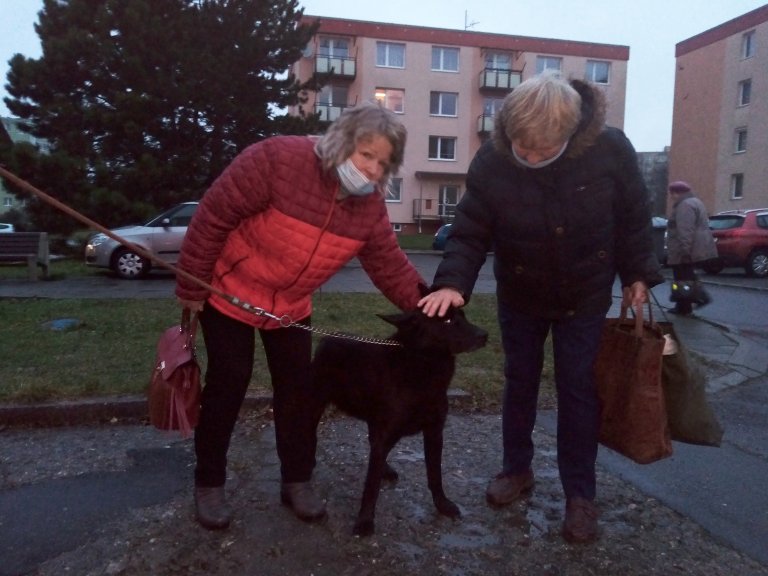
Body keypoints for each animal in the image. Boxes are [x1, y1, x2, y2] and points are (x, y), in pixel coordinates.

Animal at [310, 306, 486, 536]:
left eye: (464, 316)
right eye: (447, 320)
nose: (485, 335)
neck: (423, 364)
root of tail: (326, 339)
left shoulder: (434, 433)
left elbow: (435, 475)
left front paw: (442, 505)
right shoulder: (387, 433)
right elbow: (371, 486)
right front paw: (364, 521)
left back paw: (385, 468)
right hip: (316, 404)